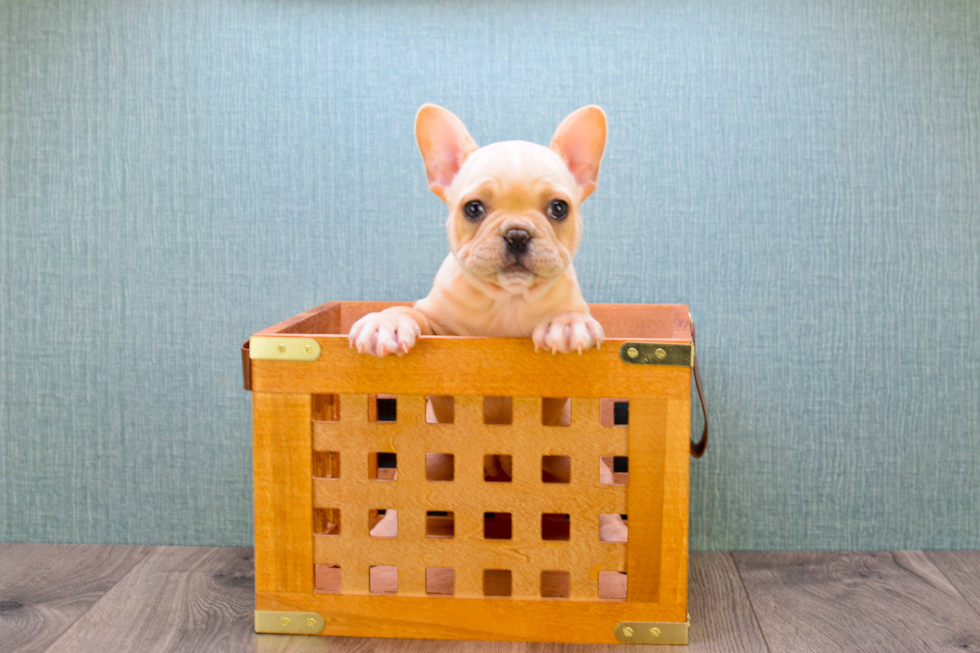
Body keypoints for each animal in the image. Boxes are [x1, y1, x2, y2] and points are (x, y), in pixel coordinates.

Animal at [344, 102, 604, 356]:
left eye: (559, 208)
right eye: (473, 208)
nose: (517, 235)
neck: (509, 299)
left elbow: (570, 312)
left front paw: (567, 322)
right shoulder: (435, 323)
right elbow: (411, 312)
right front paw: (386, 321)